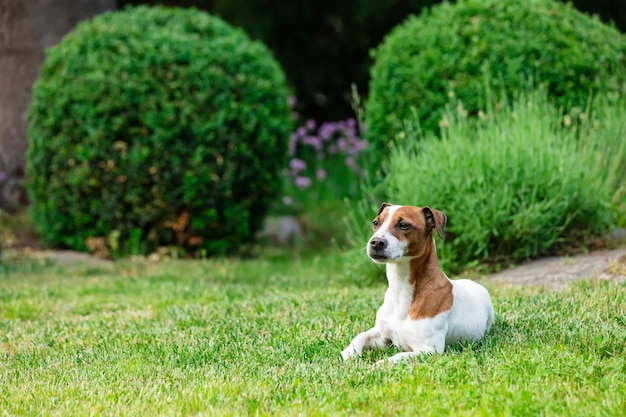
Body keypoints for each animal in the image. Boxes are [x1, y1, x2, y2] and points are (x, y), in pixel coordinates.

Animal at [342, 203, 492, 362]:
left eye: (403, 225)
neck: (401, 289)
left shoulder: (428, 350)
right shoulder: (382, 335)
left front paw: (378, 364)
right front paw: (350, 352)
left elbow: (397, 357)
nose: (376, 242)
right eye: (376, 223)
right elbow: (361, 335)